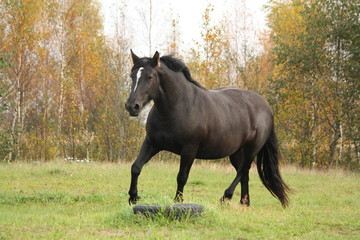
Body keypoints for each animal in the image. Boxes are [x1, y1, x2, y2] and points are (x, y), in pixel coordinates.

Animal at [125, 50, 292, 208]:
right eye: (132, 75)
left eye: (149, 77)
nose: (132, 106)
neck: (177, 106)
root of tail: (267, 107)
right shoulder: (152, 143)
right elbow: (136, 167)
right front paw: (133, 197)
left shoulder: (189, 150)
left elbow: (182, 176)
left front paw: (177, 201)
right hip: (236, 152)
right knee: (244, 173)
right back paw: (244, 202)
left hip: (252, 149)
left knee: (243, 170)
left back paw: (225, 197)